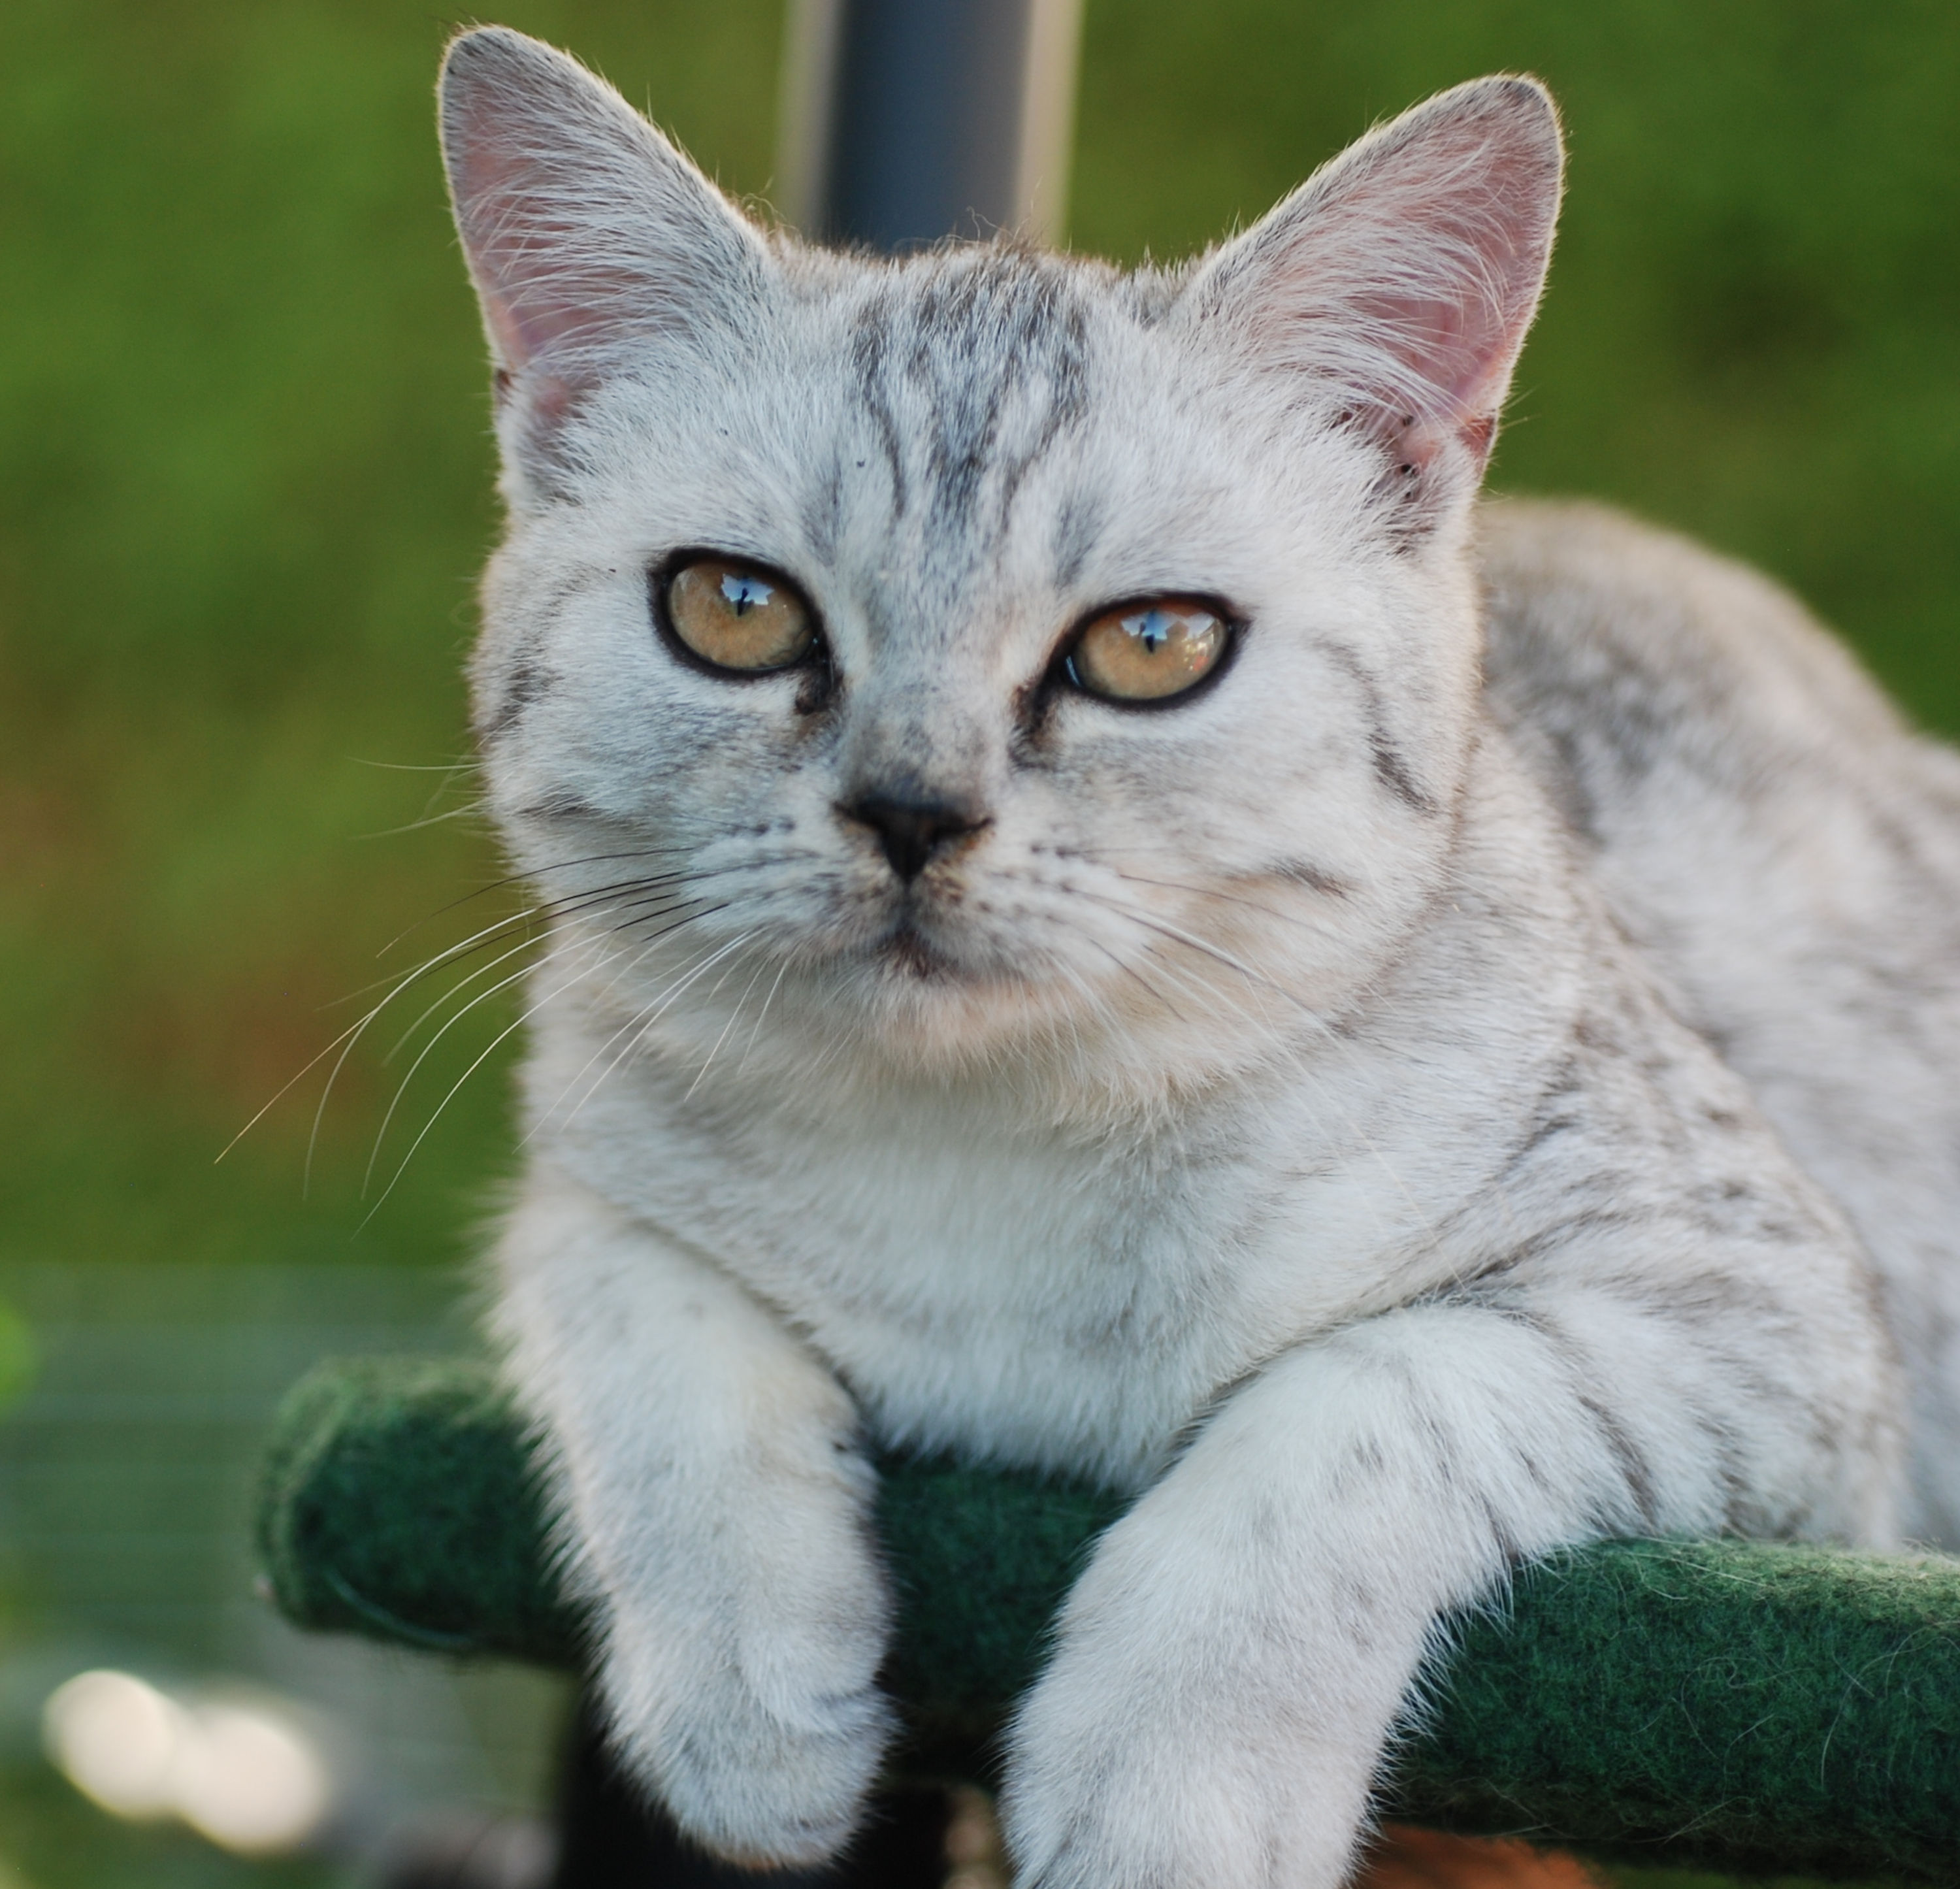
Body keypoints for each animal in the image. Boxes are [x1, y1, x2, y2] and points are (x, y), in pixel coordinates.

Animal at [437, 29, 1952, 1889]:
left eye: (1151, 646)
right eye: (732, 610)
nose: (911, 810)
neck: (983, 1149)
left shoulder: (1769, 1326)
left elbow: (1361, 1395)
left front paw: (1170, 1779)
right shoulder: (577, 1179)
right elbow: (638, 1336)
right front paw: (740, 1694)